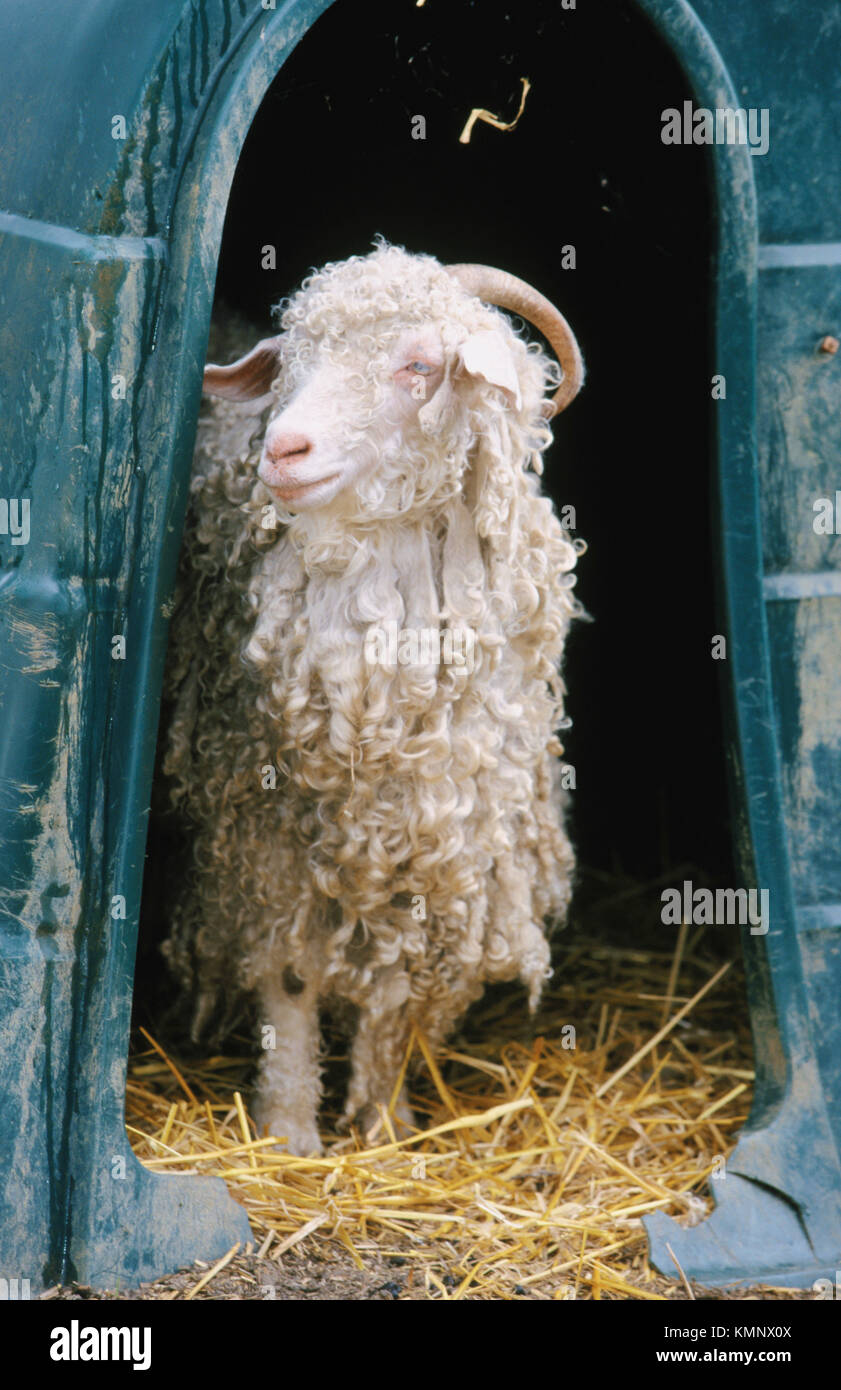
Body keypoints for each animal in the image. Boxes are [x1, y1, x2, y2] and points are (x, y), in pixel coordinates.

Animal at [161, 240, 584, 1155]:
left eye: (418, 365)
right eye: (290, 364)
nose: (283, 451)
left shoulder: (446, 841)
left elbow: (391, 995)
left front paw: (386, 1123)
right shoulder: (264, 838)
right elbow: (287, 975)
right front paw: (289, 1131)